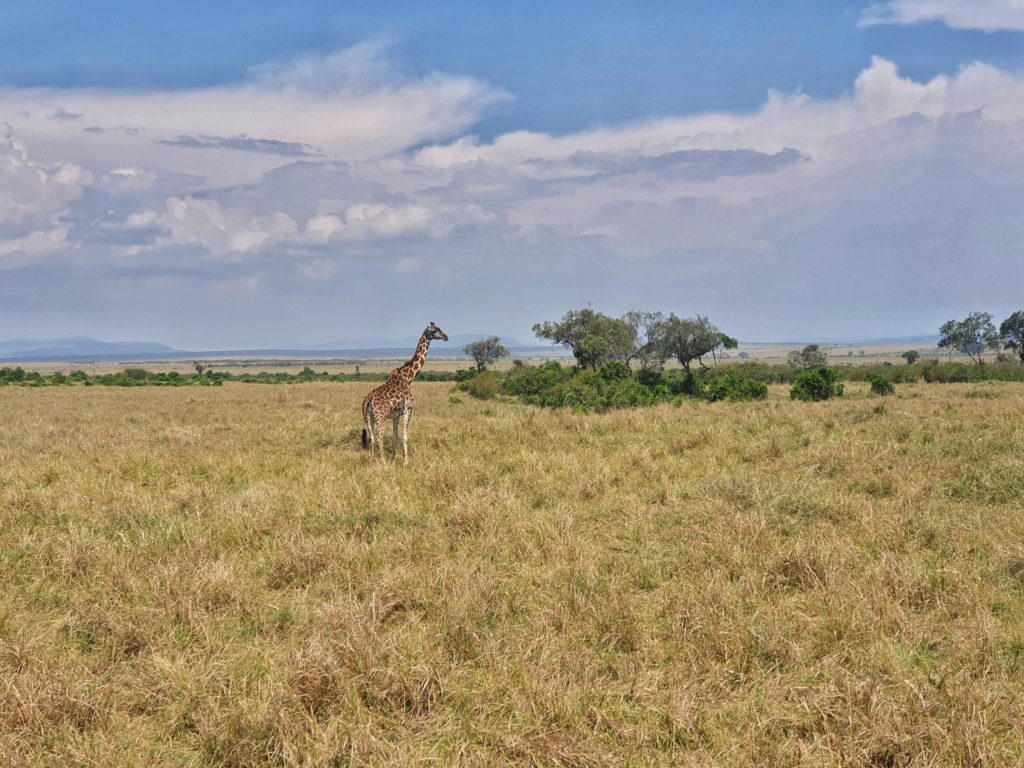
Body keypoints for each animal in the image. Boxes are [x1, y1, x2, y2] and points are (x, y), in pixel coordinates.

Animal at [360, 323, 448, 462]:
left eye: (440, 328)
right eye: (434, 331)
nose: (446, 337)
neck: (408, 378)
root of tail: (367, 401)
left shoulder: (396, 415)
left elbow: (395, 437)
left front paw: (393, 460)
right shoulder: (408, 409)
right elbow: (404, 436)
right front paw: (405, 462)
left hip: (368, 417)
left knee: (371, 437)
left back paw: (373, 459)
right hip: (380, 416)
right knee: (379, 436)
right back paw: (383, 462)